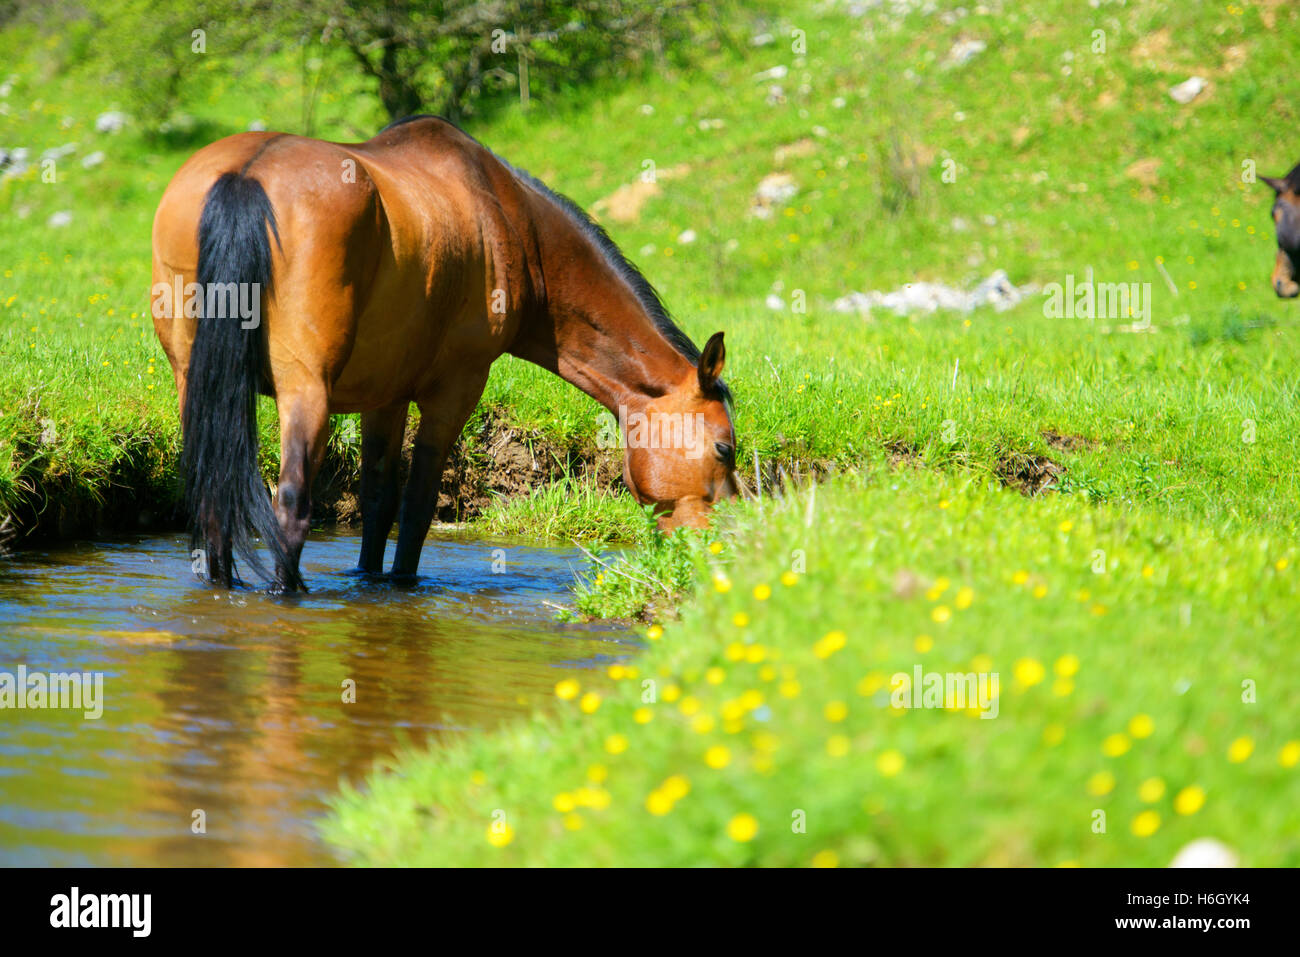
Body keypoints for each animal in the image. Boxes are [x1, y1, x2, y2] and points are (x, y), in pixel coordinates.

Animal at [149, 113, 743, 590]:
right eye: (724, 449)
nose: (729, 544)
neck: (512, 221)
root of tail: (247, 174)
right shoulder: (455, 389)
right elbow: (417, 505)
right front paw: (402, 584)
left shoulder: (383, 397)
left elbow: (378, 498)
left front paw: (369, 577)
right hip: (305, 390)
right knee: (291, 506)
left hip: (196, 383)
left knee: (214, 495)